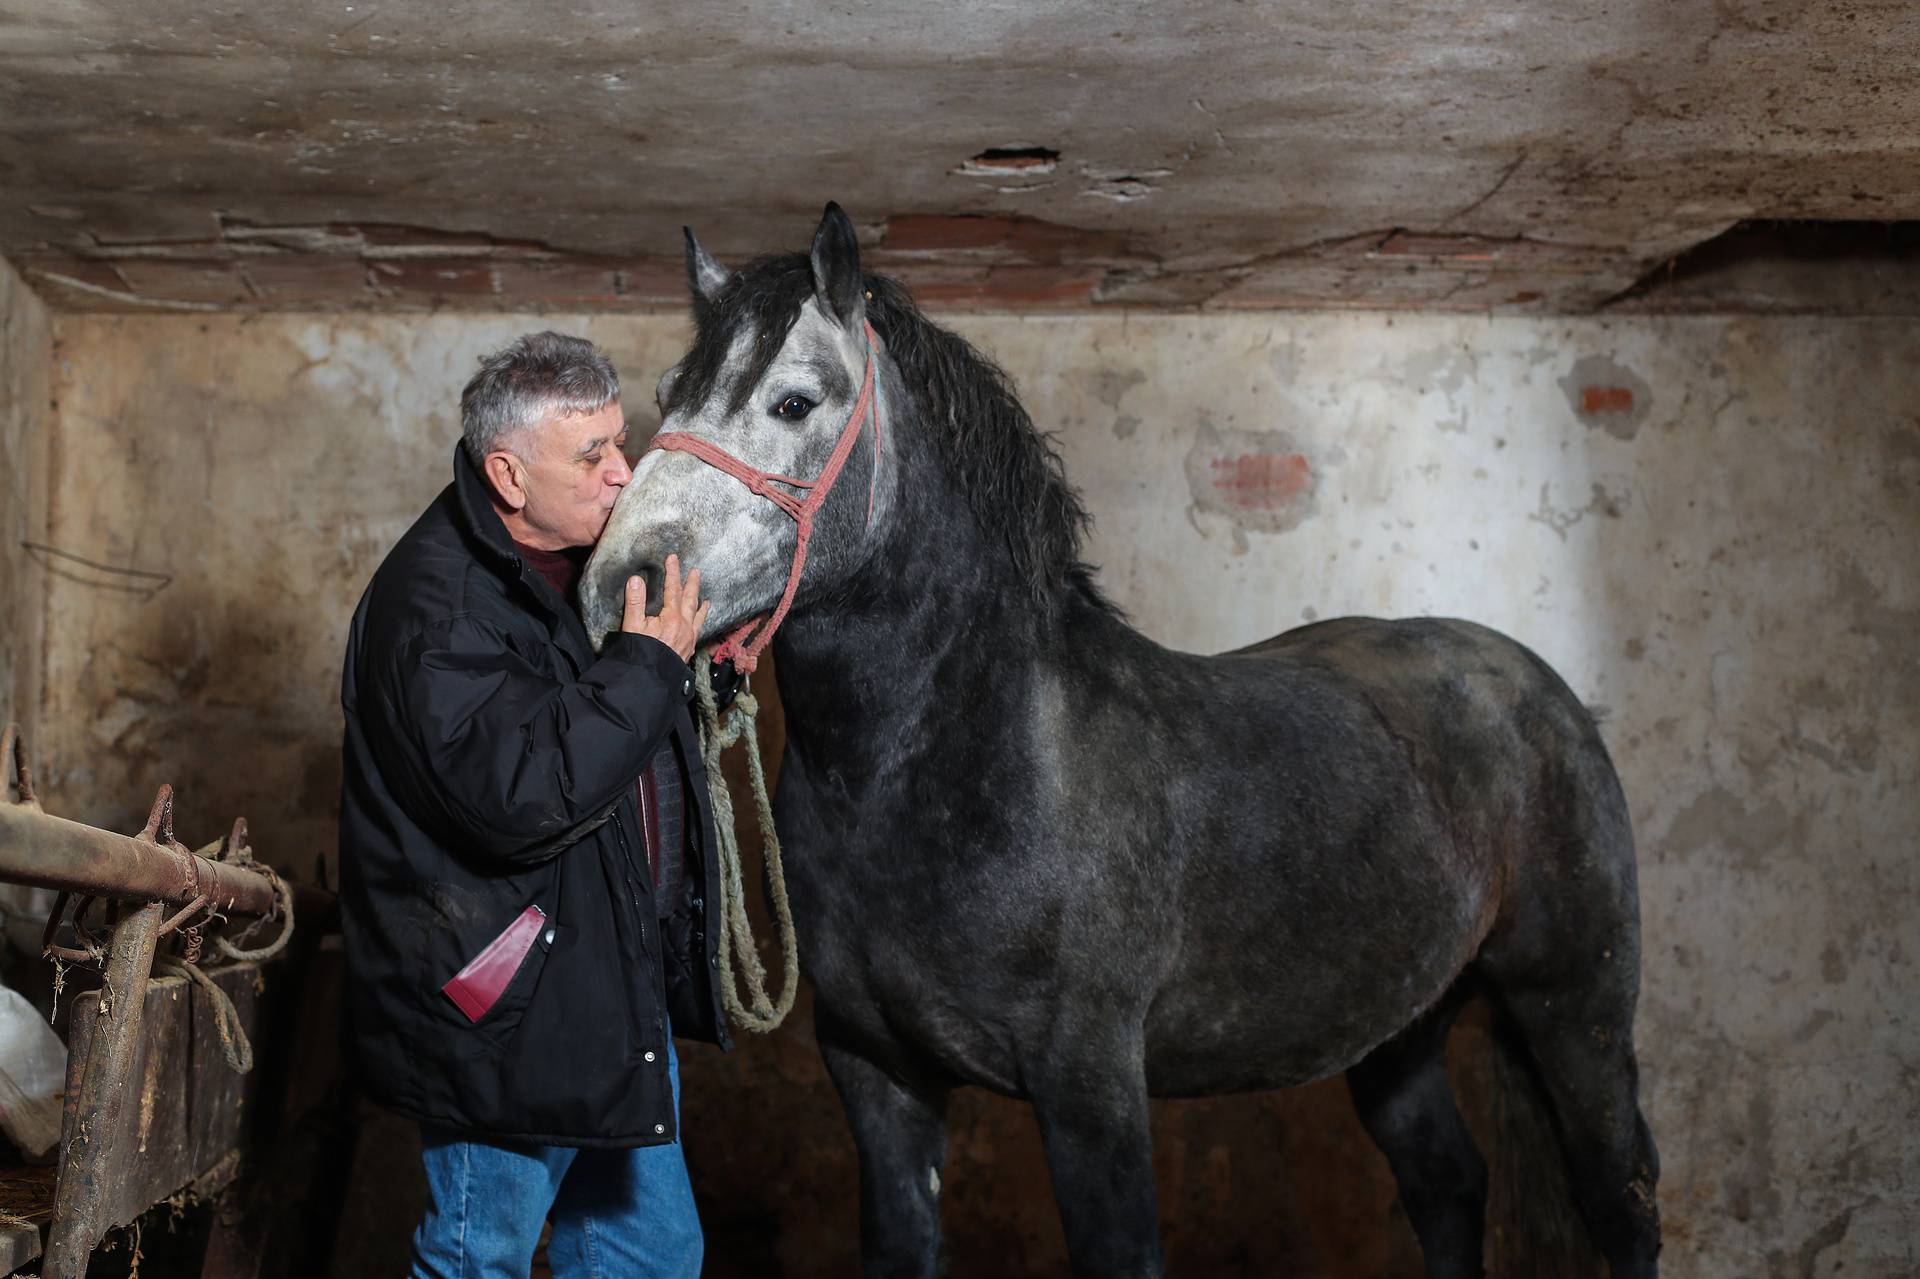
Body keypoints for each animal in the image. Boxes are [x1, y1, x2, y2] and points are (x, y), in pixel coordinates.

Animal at [576, 204, 1658, 1267]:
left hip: (1576, 1006)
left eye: (795, 403)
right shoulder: (878, 1075)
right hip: (1399, 1026)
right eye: (669, 394)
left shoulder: (1090, 1089)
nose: (615, 586)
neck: (967, 764)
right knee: (1446, 1182)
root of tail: (1535, 685)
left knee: (1620, 1198)